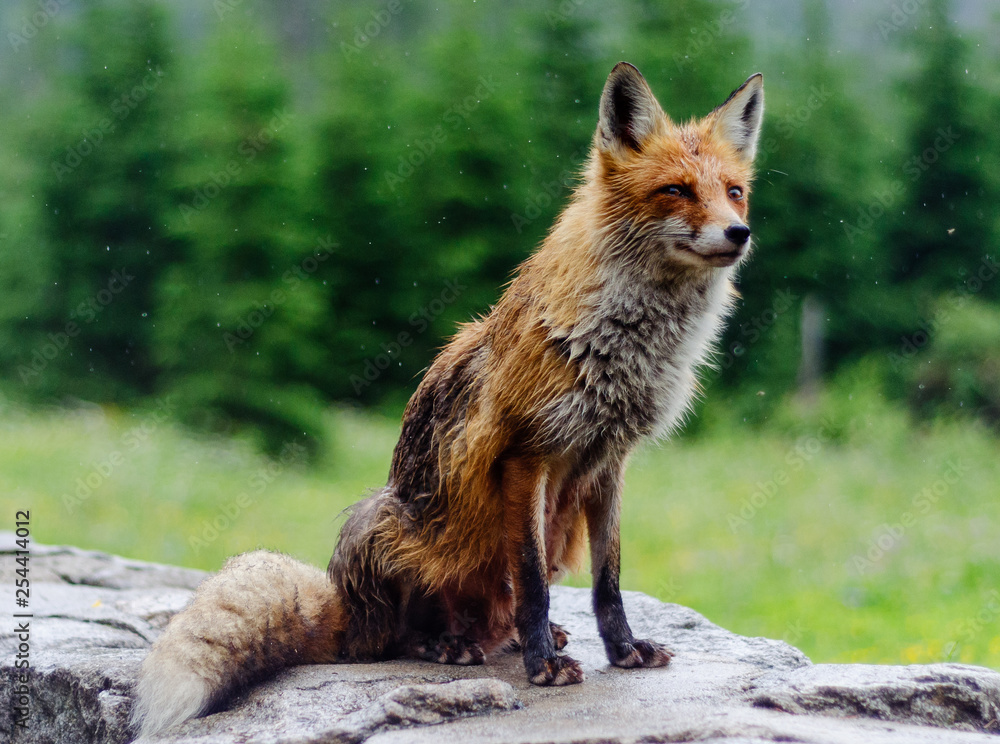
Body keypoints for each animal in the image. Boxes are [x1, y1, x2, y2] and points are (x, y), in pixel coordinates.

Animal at [132, 61, 764, 738]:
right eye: (676, 190)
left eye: (734, 191)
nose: (739, 233)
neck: (622, 347)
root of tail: (346, 617)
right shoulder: (526, 457)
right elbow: (532, 582)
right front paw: (541, 668)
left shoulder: (608, 461)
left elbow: (609, 581)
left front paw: (621, 651)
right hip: (385, 521)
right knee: (400, 638)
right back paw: (450, 644)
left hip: (555, 531)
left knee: (496, 615)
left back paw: (521, 638)